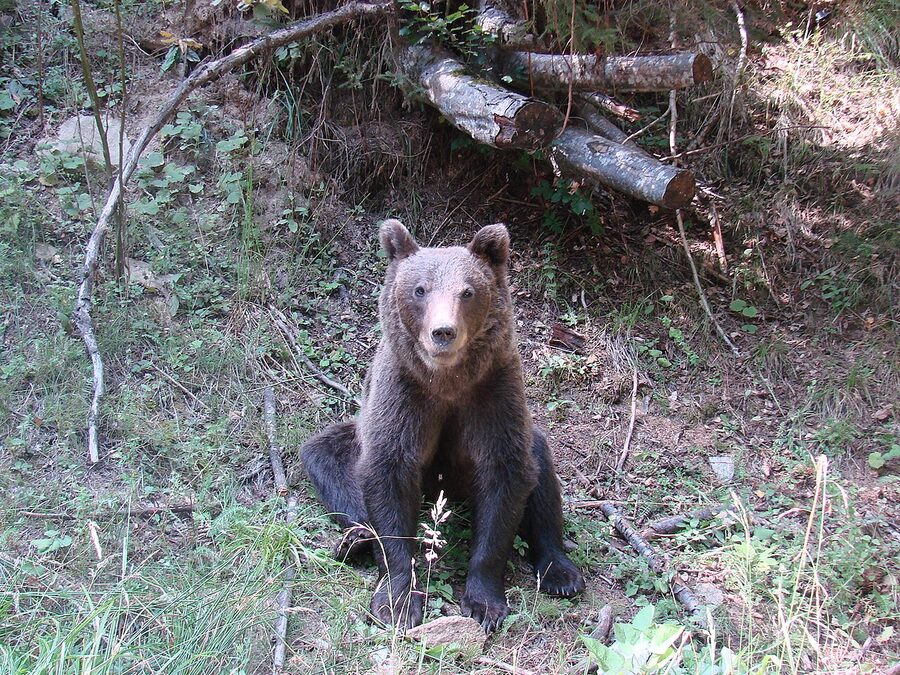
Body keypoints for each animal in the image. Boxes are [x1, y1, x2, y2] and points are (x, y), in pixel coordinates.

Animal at [301, 219, 584, 631]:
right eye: (420, 290)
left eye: (467, 291)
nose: (443, 332)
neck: (446, 382)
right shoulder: (404, 394)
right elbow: (388, 472)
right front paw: (398, 600)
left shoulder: (492, 394)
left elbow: (505, 477)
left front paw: (484, 602)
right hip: (354, 436)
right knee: (326, 458)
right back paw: (356, 539)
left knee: (540, 470)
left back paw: (560, 571)